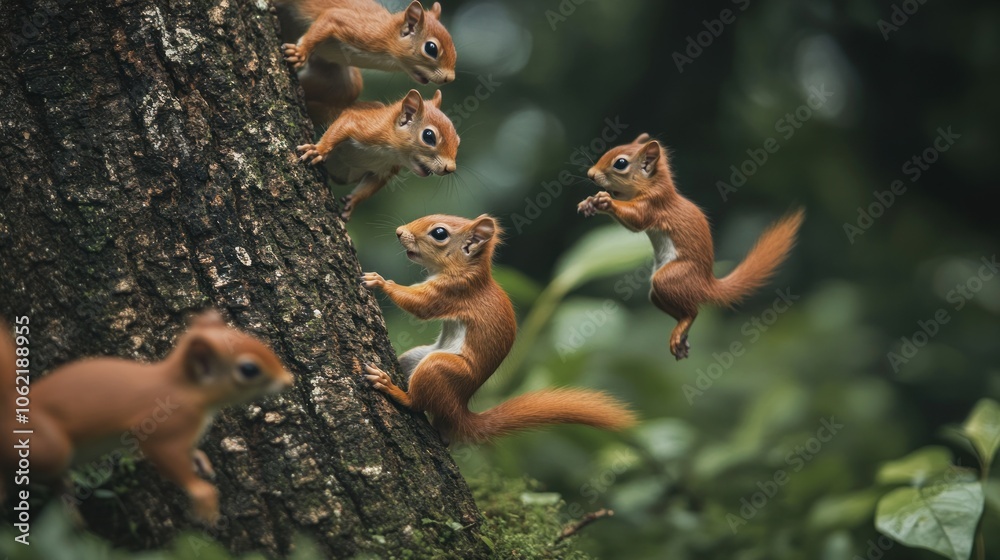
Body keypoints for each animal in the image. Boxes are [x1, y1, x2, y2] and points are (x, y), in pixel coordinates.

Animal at [0, 310, 294, 524]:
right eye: (249, 369)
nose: (288, 380)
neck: (182, 389)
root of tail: (11, 409)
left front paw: (199, 459)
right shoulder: (166, 427)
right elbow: (165, 455)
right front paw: (203, 497)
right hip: (48, 447)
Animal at [280, 0, 457, 86]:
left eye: (455, 51)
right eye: (431, 48)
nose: (450, 78)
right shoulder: (359, 29)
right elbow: (330, 17)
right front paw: (300, 52)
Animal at [297, 88, 459, 221]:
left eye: (457, 141)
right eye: (428, 136)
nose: (450, 169)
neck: (389, 153)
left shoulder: (387, 169)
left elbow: (370, 186)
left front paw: (352, 202)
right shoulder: (363, 125)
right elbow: (338, 129)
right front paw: (319, 150)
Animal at [359, 213, 636, 444]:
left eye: (439, 233)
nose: (398, 232)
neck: (467, 271)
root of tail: (458, 409)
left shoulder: (453, 292)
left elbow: (420, 306)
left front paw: (380, 282)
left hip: (439, 368)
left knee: (417, 404)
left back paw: (391, 387)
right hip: (416, 358)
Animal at [578, 133, 804, 360]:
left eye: (621, 163)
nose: (590, 174)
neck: (653, 186)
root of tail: (705, 285)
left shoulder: (654, 205)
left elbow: (637, 220)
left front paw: (605, 201)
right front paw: (589, 202)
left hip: (672, 277)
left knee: (693, 312)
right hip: (658, 292)